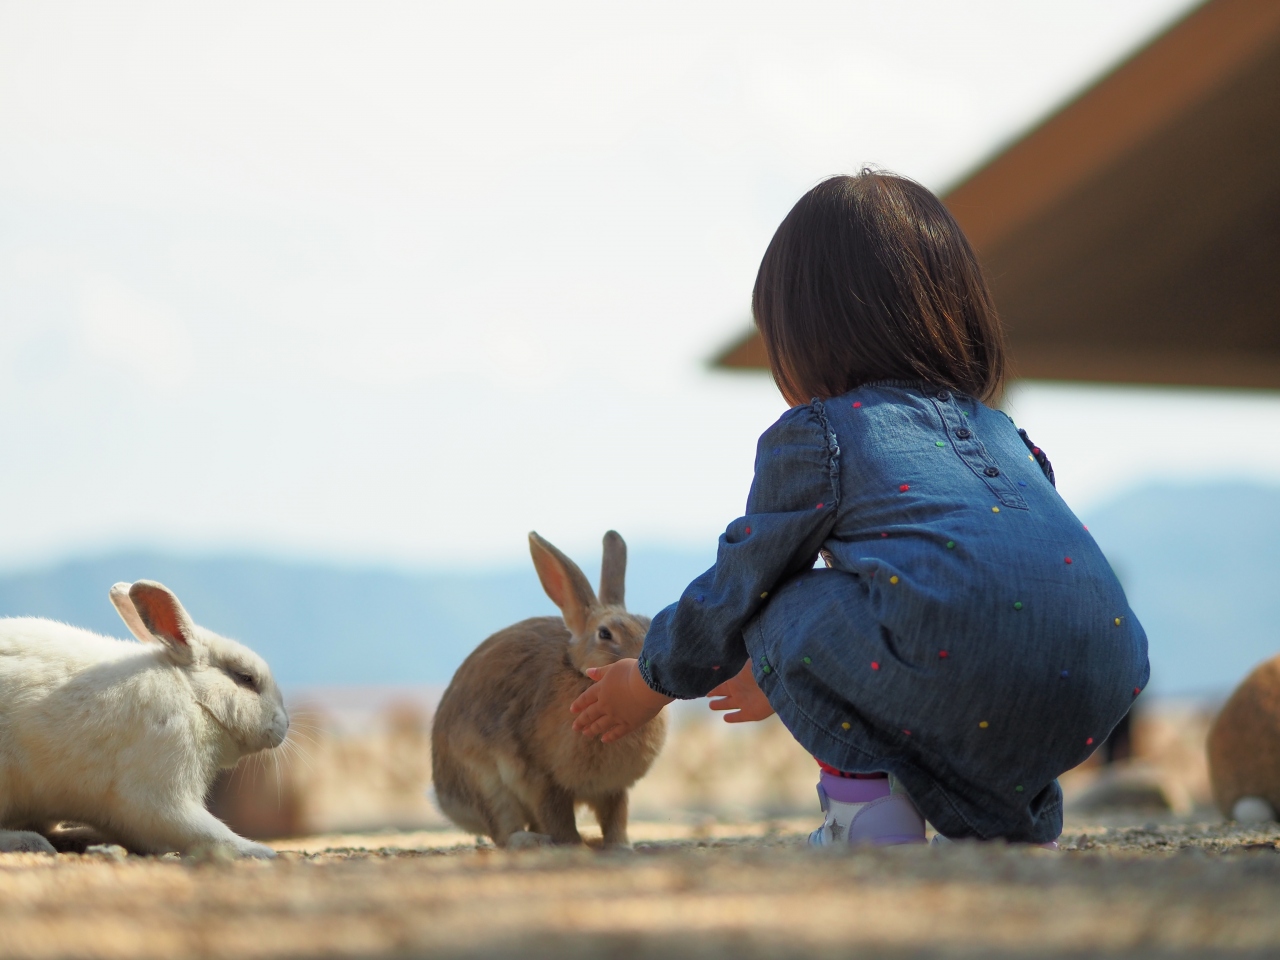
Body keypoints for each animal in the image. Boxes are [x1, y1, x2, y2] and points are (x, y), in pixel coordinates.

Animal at [0, 578, 288, 855]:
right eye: (246, 678)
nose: (284, 725)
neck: (193, 696)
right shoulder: (159, 792)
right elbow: (205, 831)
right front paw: (259, 851)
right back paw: (30, 842)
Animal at [432, 535, 670, 849]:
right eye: (605, 634)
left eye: (647, 624)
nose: (653, 661)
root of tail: (445, 800)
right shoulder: (542, 778)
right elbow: (557, 816)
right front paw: (573, 845)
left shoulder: (613, 788)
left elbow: (615, 817)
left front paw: (620, 846)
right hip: (486, 783)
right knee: (503, 830)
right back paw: (533, 841)